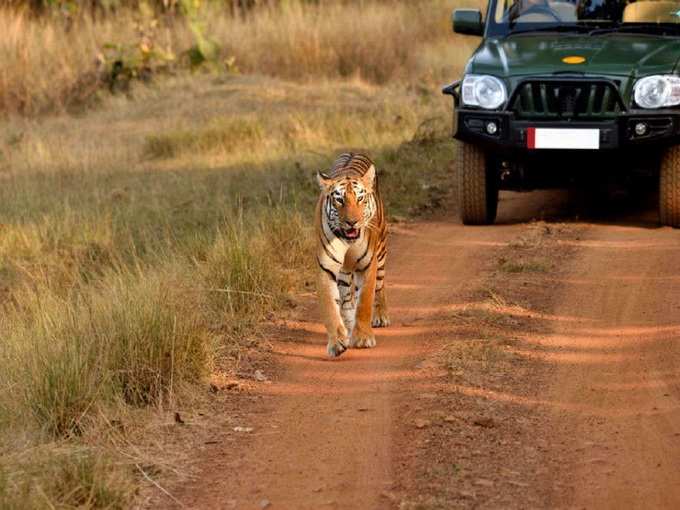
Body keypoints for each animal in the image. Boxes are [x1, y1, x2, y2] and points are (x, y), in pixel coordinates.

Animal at [314, 153, 388, 356]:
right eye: (339, 200)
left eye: (360, 198)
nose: (352, 222)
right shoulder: (326, 268)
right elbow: (331, 308)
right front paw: (337, 342)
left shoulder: (368, 265)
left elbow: (365, 302)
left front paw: (363, 338)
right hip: (344, 273)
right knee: (346, 299)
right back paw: (348, 326)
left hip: (381, 252)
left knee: (380, 288)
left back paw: (380, 316)